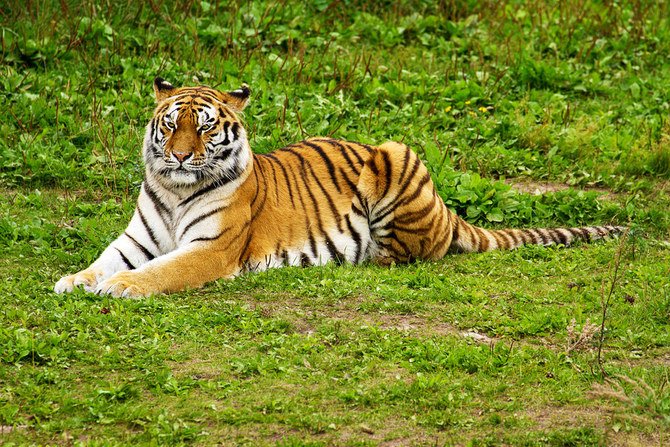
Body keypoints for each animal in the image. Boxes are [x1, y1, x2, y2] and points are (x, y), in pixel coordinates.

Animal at [54, 78, 626, 298]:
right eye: (172, 125)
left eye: (207, 128)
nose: (177, 156)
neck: (174, 192)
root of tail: (448, 210)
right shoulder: (135, 240)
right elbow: (103, 261)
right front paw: (73, 280)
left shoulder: (210, 249)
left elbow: (160, 272)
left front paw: (120, 288)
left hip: (396, 154)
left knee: (407, 255)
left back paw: (359, 257)